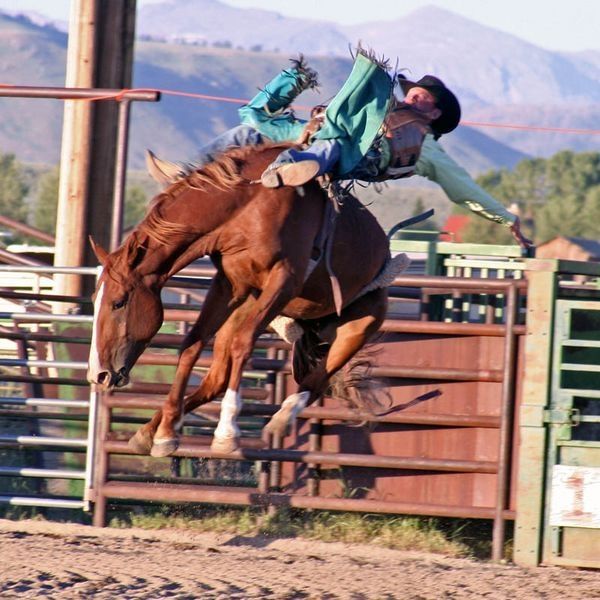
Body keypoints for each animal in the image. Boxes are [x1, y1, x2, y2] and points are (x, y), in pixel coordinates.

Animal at [86, 143, 392, 458]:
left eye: (118, 302)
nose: (98, 375)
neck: (248, 205)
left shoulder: (285, 281)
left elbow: (243, 343)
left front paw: (226, 432)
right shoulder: (228, 285)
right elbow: (192, 344)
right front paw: (166, 433)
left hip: (358, 328)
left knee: (317, 380)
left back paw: (281, 419)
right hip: (240, 315)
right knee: (216, 379)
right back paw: (151, 430)